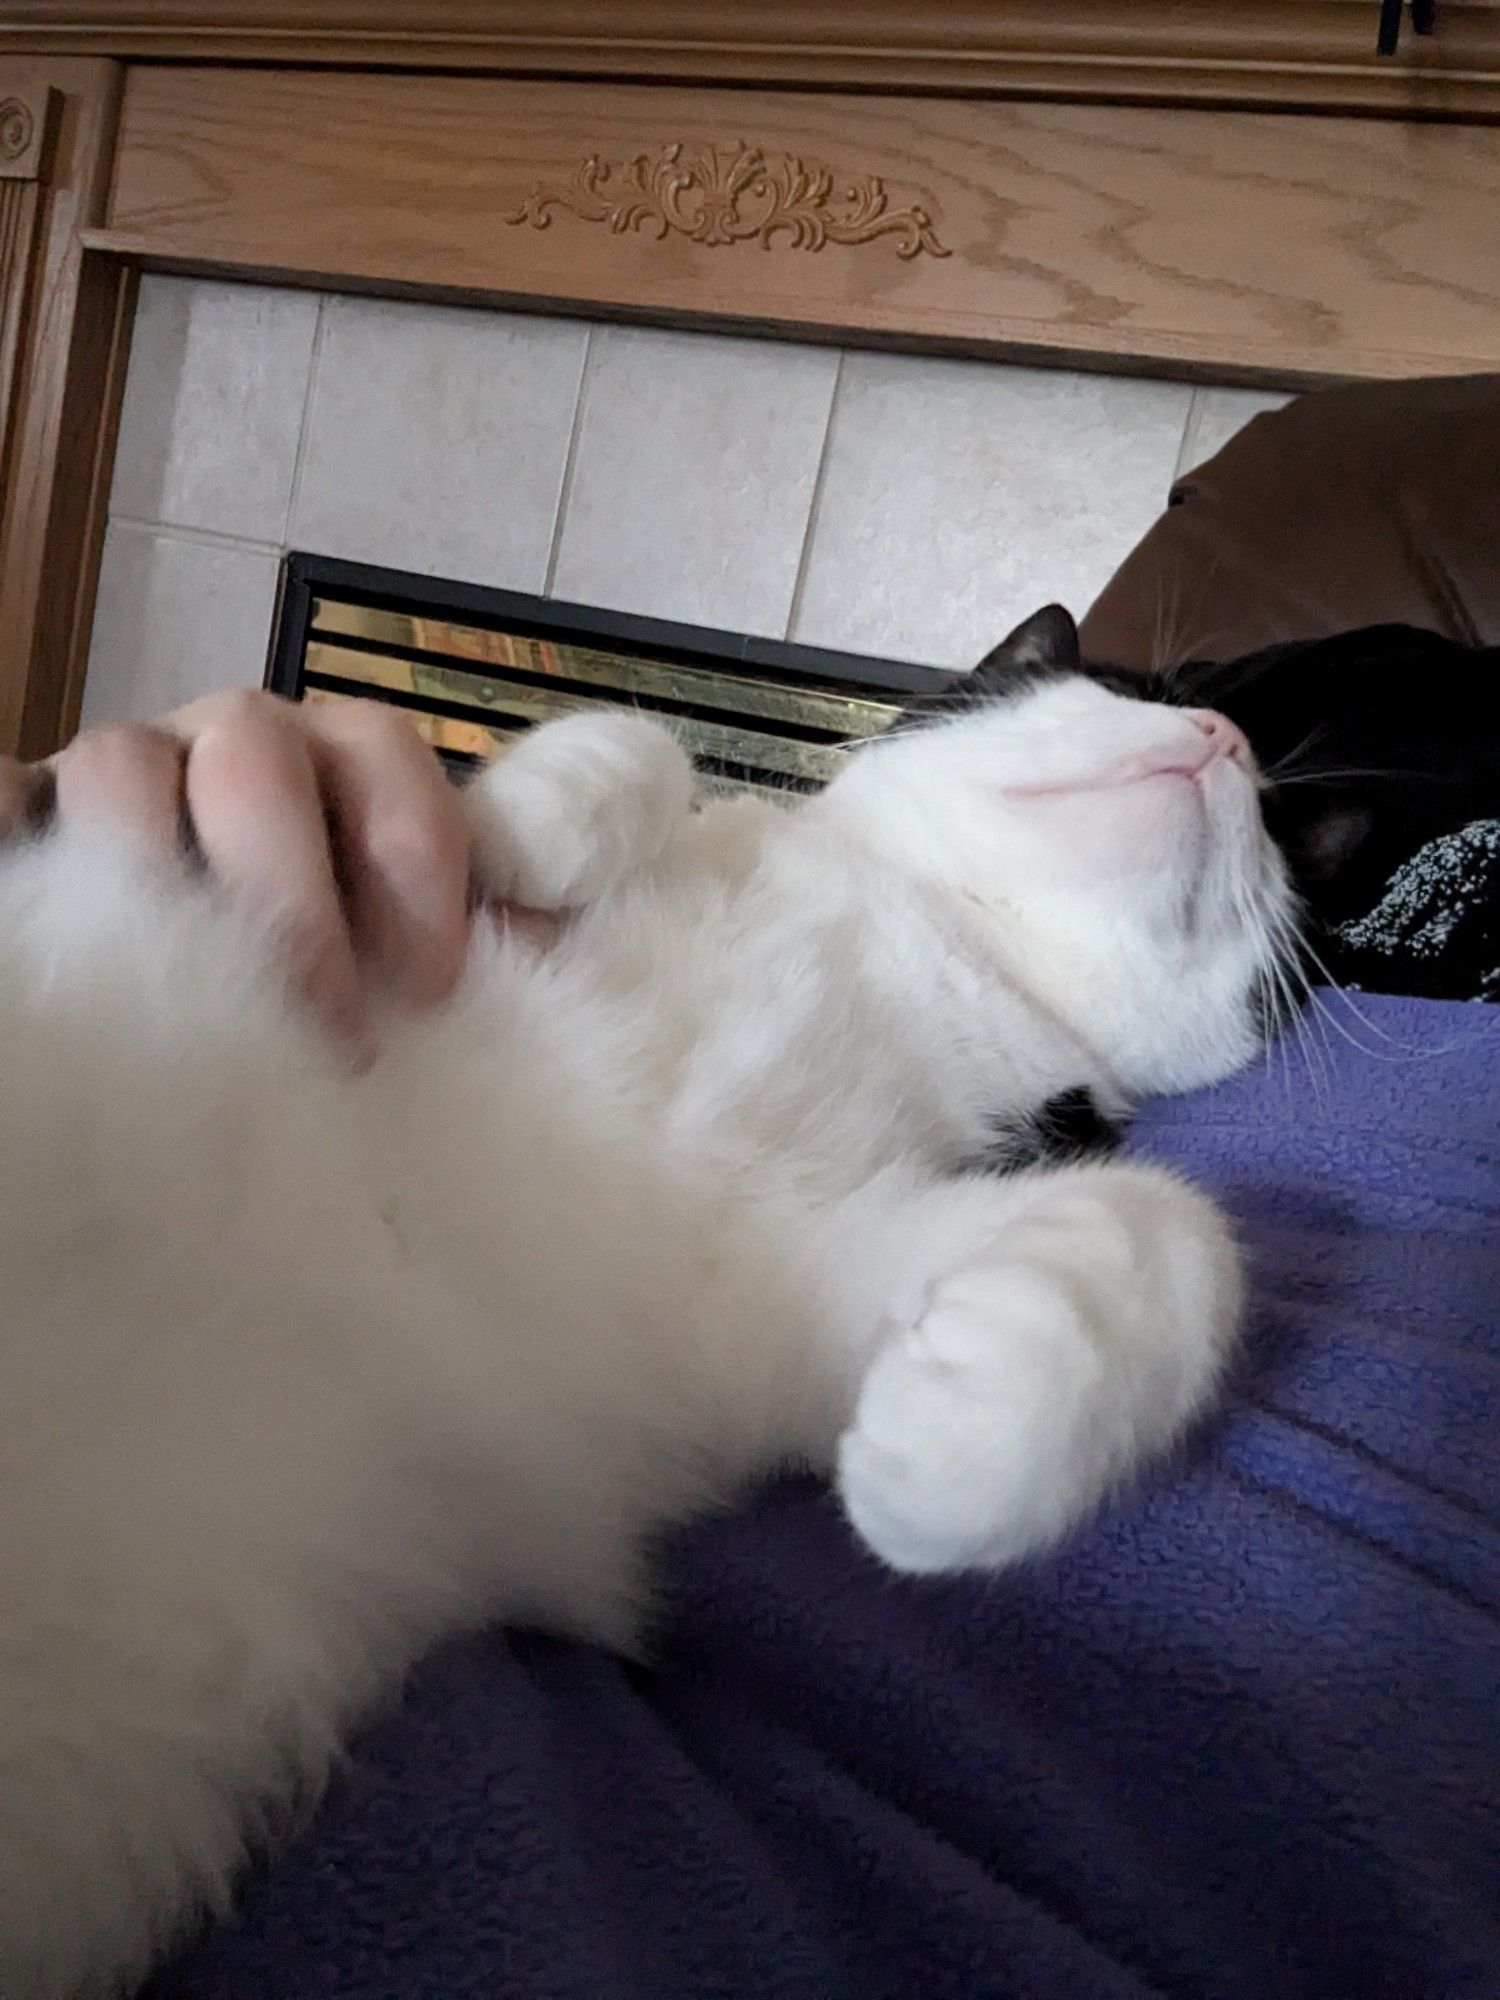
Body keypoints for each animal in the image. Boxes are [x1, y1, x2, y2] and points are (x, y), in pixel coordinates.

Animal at [0, 608, 1296, 2000]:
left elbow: (1180, 1234)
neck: (925, 937)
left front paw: (963, 1443)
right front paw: (520, 812)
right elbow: (654, 749)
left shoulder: (769, 1276)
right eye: (1111, 683)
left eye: (1280, 840)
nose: (1225, 734)